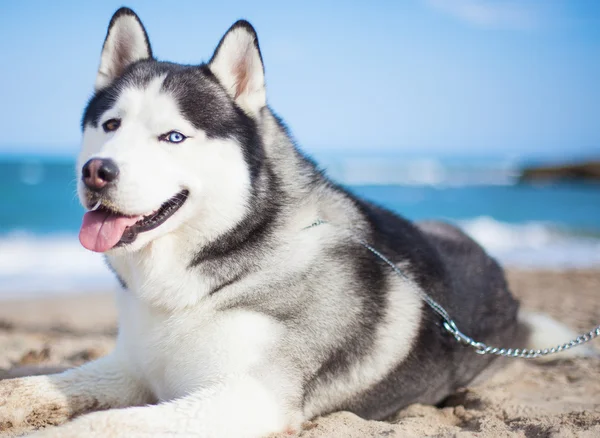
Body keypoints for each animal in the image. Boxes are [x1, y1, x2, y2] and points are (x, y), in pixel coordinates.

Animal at [0, 6, 580, 438]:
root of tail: (502, 280)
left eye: (173, 137)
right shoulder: (132, 367)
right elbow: (33, 384)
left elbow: (101, 425)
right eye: (110, 125)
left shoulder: (246, 397)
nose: (95, 171)